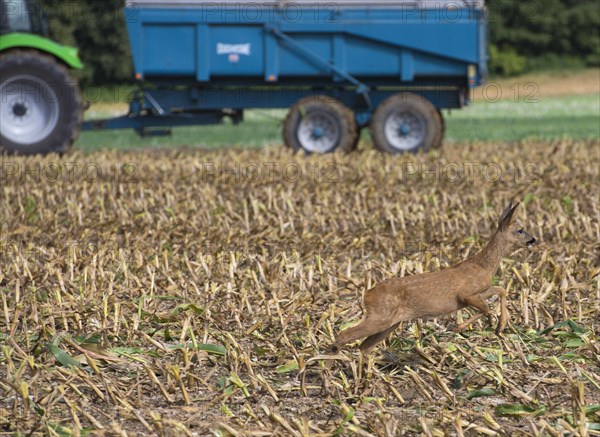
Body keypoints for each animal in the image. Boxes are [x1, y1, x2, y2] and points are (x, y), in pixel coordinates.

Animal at [332, 201, 536, 354]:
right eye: (520, 229)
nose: (533, 239)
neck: (483, 266)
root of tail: (366, 294)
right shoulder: (466, 294)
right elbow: (488, 309)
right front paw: (461, 327)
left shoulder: (479, 292)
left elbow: (501, 290)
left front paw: (500, 326)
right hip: (380, 317)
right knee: (344, 336)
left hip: (390, 322)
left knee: (364, 347)